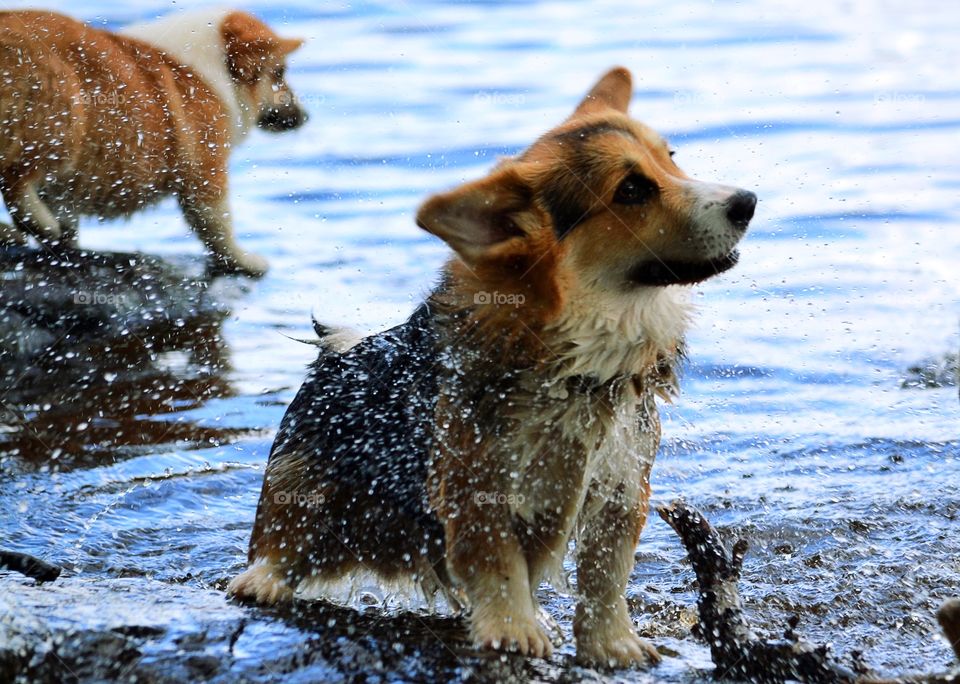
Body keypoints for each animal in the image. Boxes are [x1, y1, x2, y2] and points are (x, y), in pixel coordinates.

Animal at [0, 8, 308, 276]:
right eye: (279, 73)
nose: (306, 117)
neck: (217, 64)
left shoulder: (68, 189)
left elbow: (67, 215)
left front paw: (66, 245)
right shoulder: (205, 172)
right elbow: (218, 226)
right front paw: (244, 261)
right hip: (63, 113)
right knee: (16, 181)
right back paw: (38, 224)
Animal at [229, 68, 752, 668]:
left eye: (671, 158)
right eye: (632, 190)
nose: (748, 202)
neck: (580, 352)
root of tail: (340, 352)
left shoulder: (622, 484)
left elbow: (606, 575)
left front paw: (612, 644)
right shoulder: (475, 485)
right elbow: (500, 562)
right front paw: (514, 631)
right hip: (302, 495)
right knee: (278, 546)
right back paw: (262, 581)